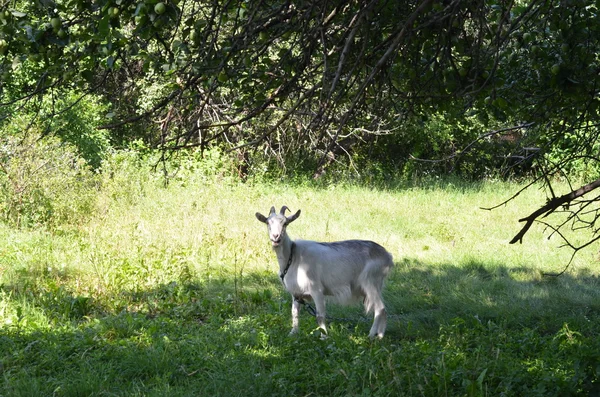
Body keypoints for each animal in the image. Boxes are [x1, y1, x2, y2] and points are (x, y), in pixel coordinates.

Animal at [256, 204, 394, 338]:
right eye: (268, 223)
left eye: (285, 223)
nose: (276, 237)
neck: (293, 257)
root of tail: (387, 256)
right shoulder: (296, 293)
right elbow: (294, 313)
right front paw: (293, 333)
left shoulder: (316, 290)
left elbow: (320, 315)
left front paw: (324, 336)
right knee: (382, 310)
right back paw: (380, 335)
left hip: (370, 282)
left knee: (380, 308)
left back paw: (371, 335)